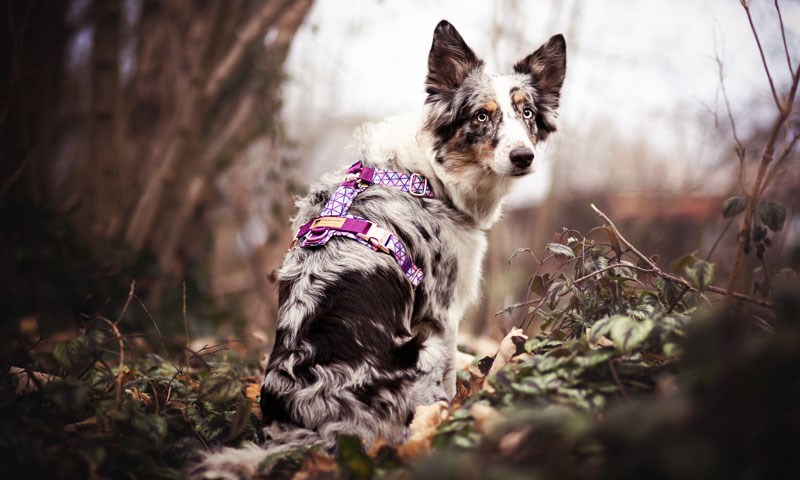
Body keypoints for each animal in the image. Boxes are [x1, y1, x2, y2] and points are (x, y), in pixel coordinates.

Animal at [193, 17, 564, 476]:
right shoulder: (443, 313)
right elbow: (450, 375)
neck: (430, 176)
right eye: (482, 115)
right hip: (421, 352)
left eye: (526, 113)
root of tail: (310, 427)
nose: (523, 157)